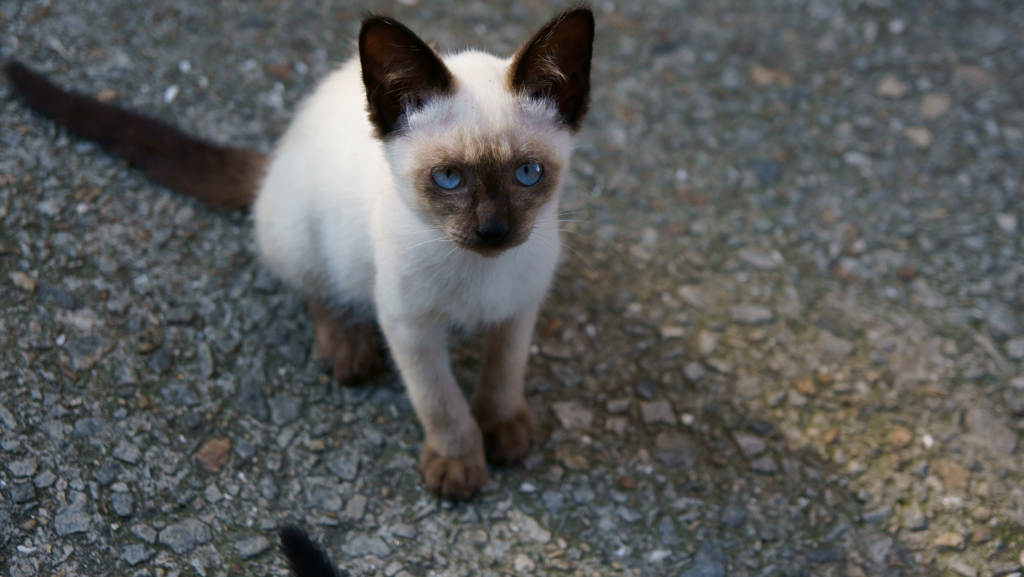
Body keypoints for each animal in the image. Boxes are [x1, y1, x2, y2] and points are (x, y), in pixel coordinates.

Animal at [4, 5, 598, 502]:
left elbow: (502, 373)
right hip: (302, 236)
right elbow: (441, 401)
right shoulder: (407, 324)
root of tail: (277, 155)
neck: (480, 274)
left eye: (528, 174)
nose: (494, 231)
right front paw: (459, 464)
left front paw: (503, 431)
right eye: (449, 178)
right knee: (318, 290)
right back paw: (348, 350)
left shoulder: (520, 307)